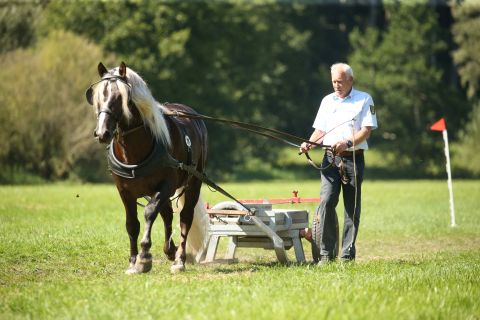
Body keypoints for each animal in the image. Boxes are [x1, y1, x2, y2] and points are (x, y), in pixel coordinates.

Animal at [85, 62, 209, 272]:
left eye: (119, 98)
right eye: (98, 97)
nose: (102, 133)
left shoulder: (166, 185)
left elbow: (150, 213)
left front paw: (144, 256)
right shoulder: (124, 191)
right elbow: (132, 224)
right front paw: (133, 261)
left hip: (193, 182)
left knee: (185, 218)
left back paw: (179, 259)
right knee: (167, 215)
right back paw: (170, 250)